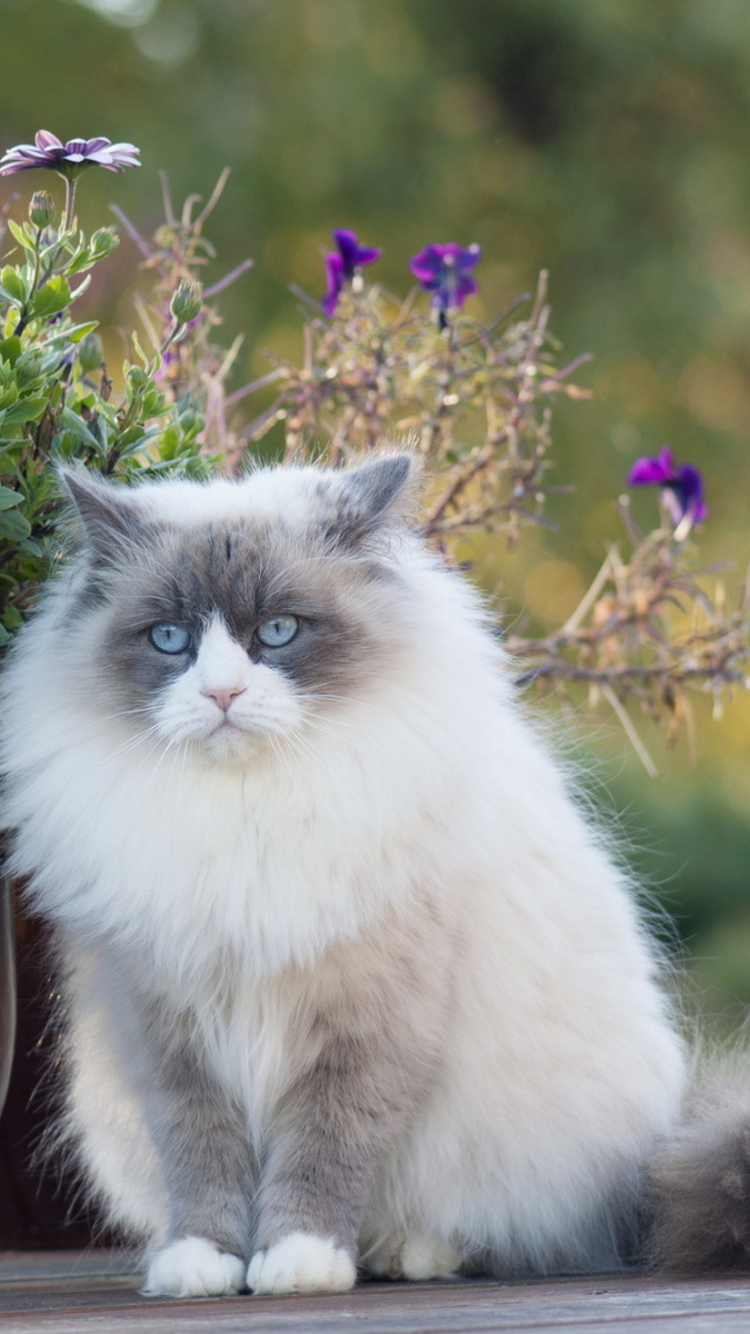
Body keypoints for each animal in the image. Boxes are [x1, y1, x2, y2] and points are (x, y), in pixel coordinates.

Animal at [0, 453, 688, 1296]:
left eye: (277, 632)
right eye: (170, 640)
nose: (222, 694)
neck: (247, 810)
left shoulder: (365, 1026)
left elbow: (325, 1151)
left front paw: (299, 1263)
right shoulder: (173, 1036)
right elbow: (202, 1159)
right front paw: (205, 1263)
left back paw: (406, 1253)